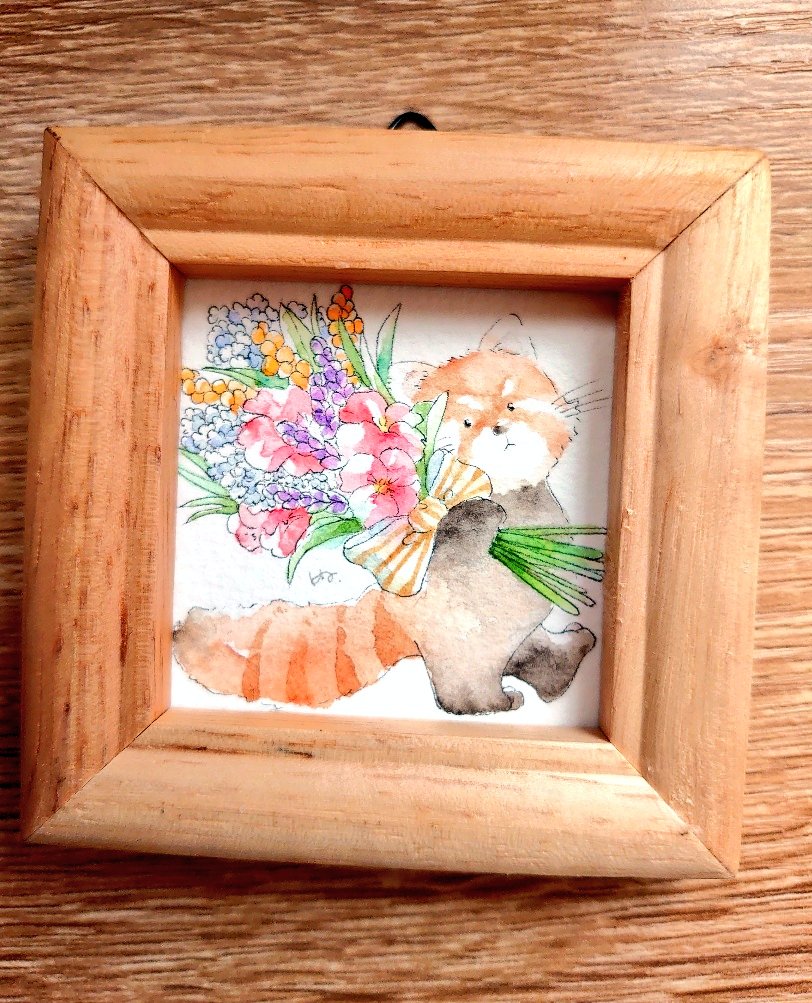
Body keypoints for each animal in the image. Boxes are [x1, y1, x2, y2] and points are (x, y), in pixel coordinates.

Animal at [174, 321, 597, 715]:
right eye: (467, 422)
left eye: (511, 402)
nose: (500, 427)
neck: (514, 494)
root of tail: (393, 615)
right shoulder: (442, 551)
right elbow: (456, 530)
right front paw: (480, 512)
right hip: (460, 646)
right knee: (462, 688)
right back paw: (492, 703)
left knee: (530, 652)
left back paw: (566, 661)